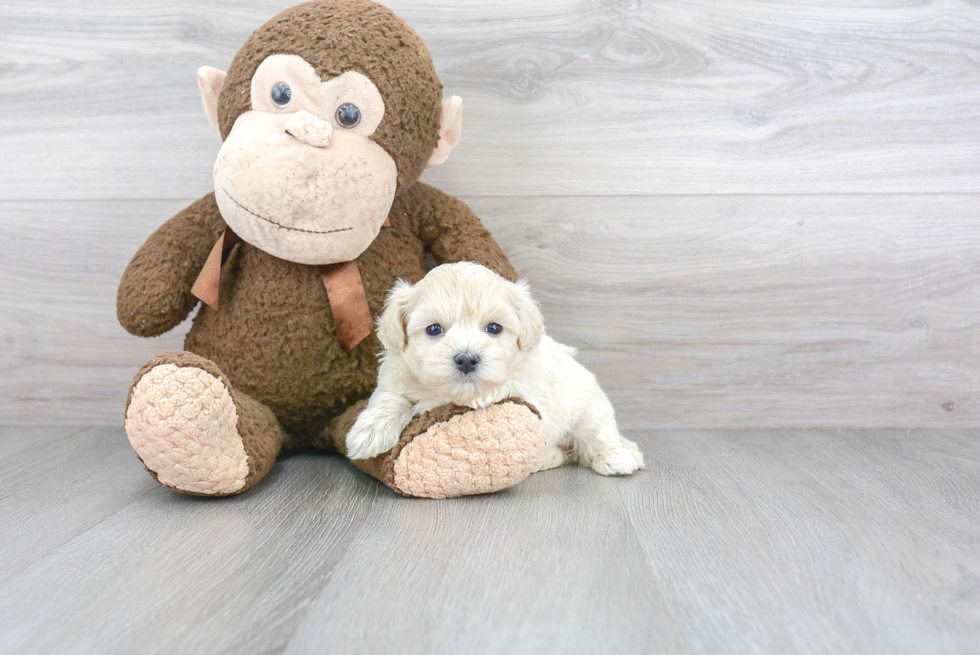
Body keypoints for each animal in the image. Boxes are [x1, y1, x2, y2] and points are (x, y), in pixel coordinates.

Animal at [344, 262, 644, 476]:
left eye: (494, 328)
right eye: (434, 329)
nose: (466, 359)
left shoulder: (524, 385)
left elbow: (497, 389)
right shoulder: (395, 375)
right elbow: (390, 398)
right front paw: (367, 434)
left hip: (590, 410)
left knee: (598, 437)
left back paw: (616, 458)